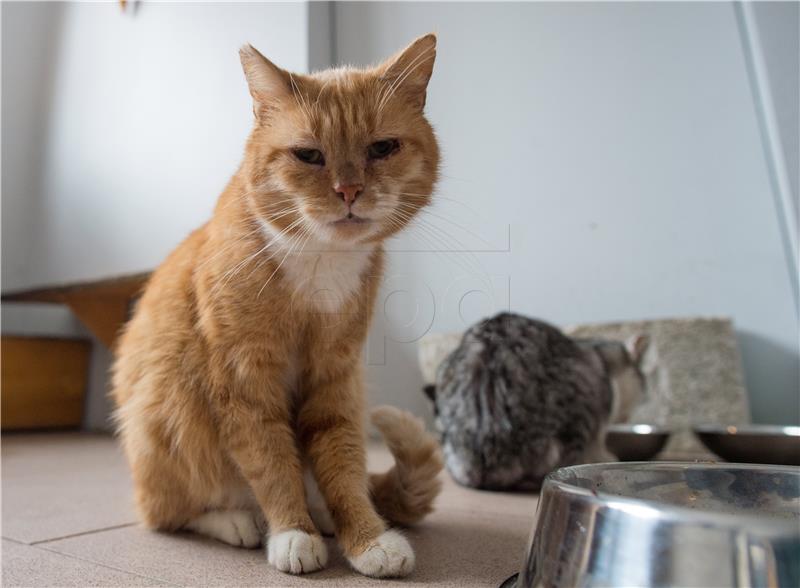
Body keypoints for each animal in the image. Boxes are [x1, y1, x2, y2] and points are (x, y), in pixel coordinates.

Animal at [109, 34, 440, 576]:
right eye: (308, 155)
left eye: (382, 148)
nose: (349, 190)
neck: (321, 262)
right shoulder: (244, 379)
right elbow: (270, 462)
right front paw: (292, 531)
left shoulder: (335, 378)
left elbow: (344, 465)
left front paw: (366, 537)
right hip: (166, 408)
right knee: (166, 513)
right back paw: (238, 521)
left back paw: (323, 514)